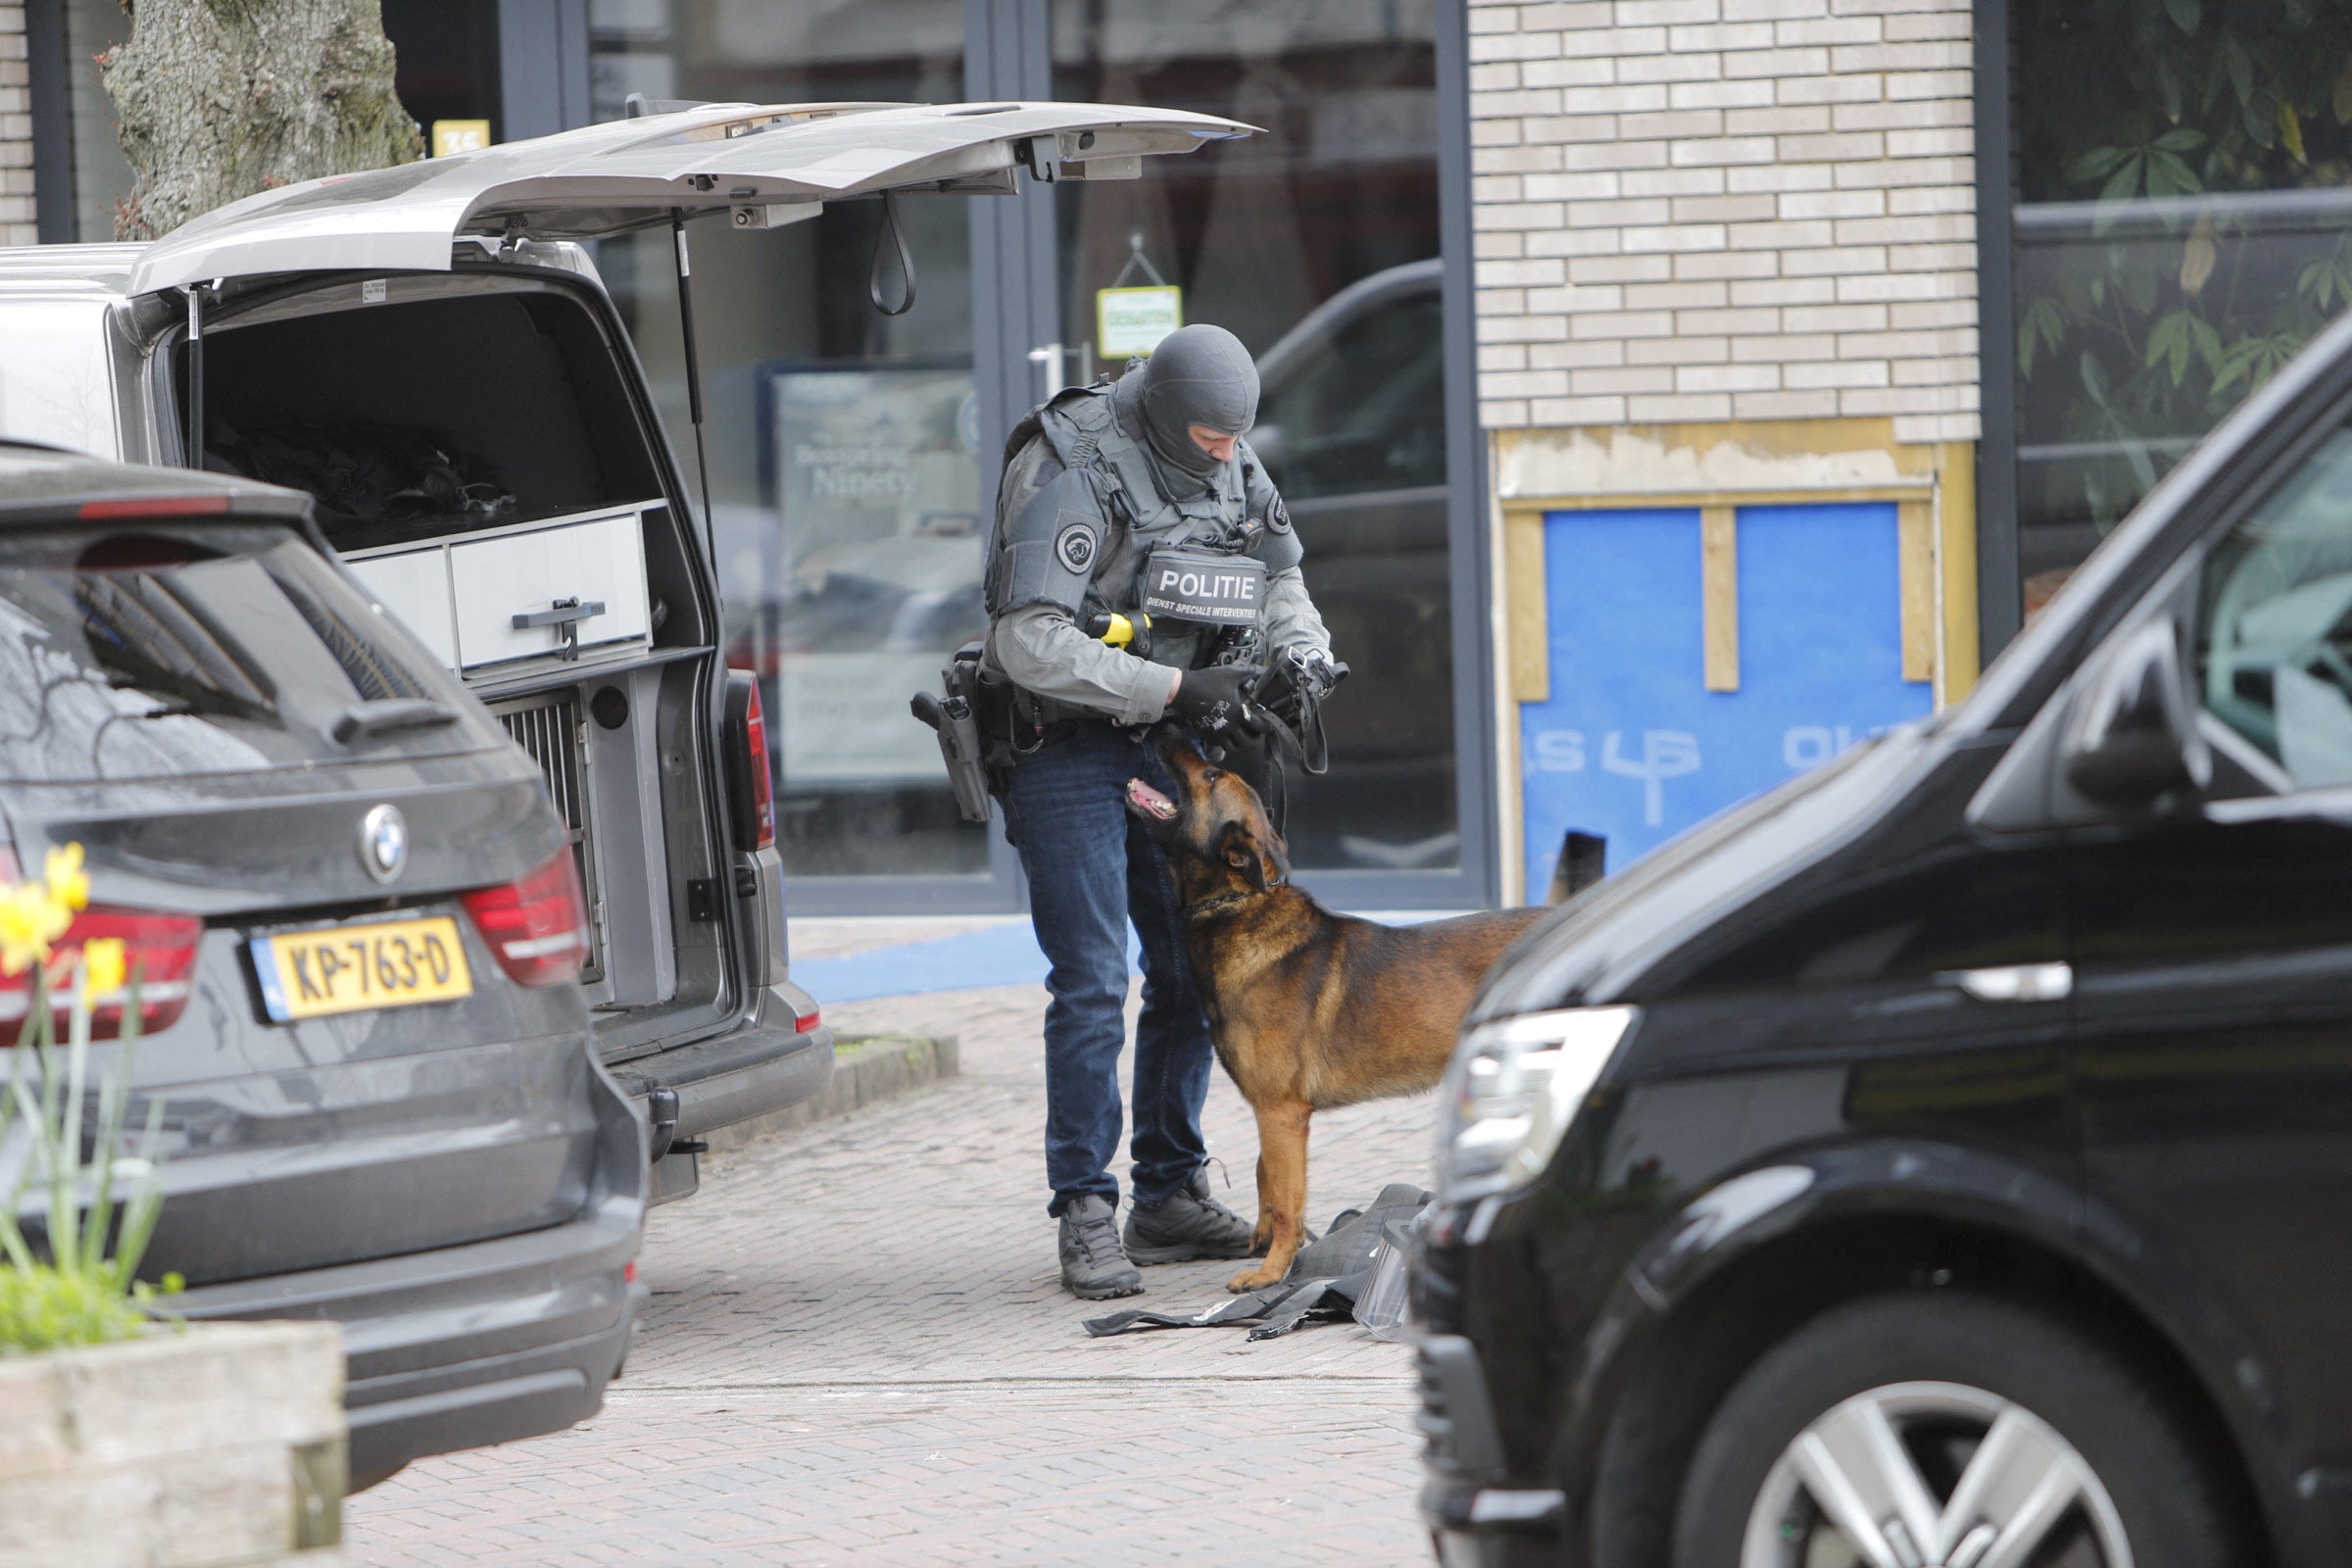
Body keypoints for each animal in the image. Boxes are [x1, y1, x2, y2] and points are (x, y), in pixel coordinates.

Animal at [1129, 738, 1552, 1288]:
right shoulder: (1272, 1114)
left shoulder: (1282, 1113)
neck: (1240, 905)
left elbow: (1286, 1200)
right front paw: (1267, 1249)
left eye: (1211, 776)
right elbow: (1266, 1180)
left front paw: (1271, 1275)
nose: (1166, 734)